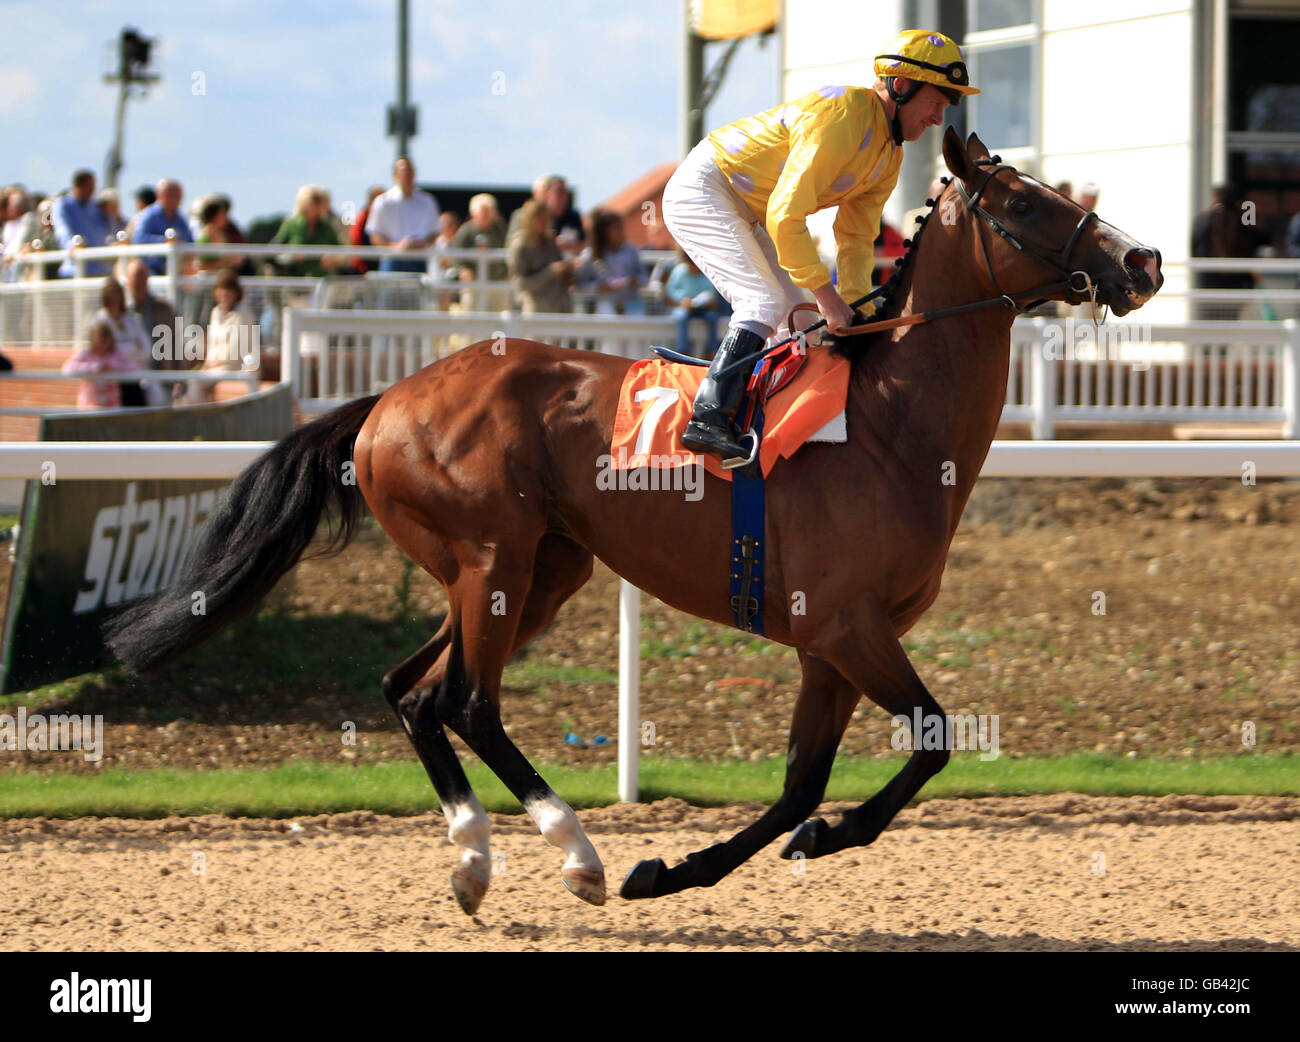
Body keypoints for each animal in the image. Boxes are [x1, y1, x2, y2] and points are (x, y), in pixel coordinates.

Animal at [109, 127, 1159, 909]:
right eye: (1022, 203)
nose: (1141, 258)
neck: (890, 427)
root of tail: (384, 402)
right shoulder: (846, 626)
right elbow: (930, 740)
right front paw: (819, 837)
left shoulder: (831, 644)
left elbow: (800, 784)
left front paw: (687, 867)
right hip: (492, 558)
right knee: (464, 701)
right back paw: (574, 852)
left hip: (538, 567)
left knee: (412, 690)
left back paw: (474, 860)